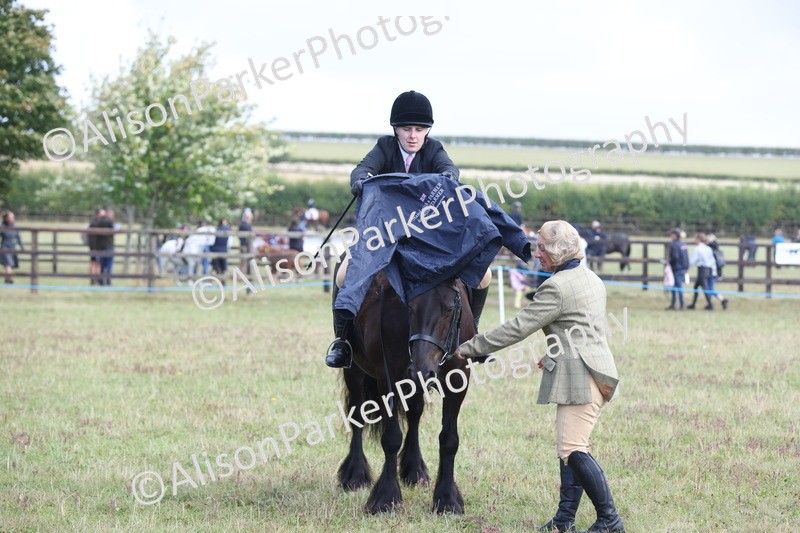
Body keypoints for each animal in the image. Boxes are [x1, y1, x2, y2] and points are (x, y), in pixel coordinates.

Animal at [336, 272, 474, 514]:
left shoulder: (458, 381)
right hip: (354, 371)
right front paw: (386, 498)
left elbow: (449, 439)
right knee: (357, 415)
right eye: (411, 308)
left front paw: (447, 499)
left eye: (449, 309)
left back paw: (415, 471)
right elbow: (391, 439)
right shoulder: (388, 378)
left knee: (414, 415)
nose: (422, 369)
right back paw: (355, 475)